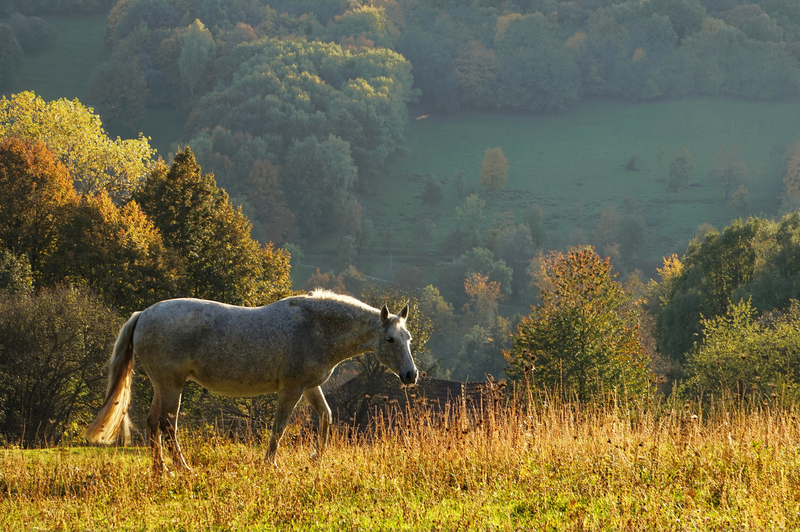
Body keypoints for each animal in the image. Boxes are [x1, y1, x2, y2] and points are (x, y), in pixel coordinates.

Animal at [86, 288, 418, 472]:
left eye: (409, 338)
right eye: (390, 339)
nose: (410, 375)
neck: (316, 328)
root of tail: (143, 314)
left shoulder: (310, 387)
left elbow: (326, 416)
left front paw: (317, 458)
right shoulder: (292, 388)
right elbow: (280, 426)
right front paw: (272, 465)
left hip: (163, 386)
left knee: (154, 423)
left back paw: (162, 470)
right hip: (171, 386)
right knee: (168, 425)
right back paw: (182, 468)